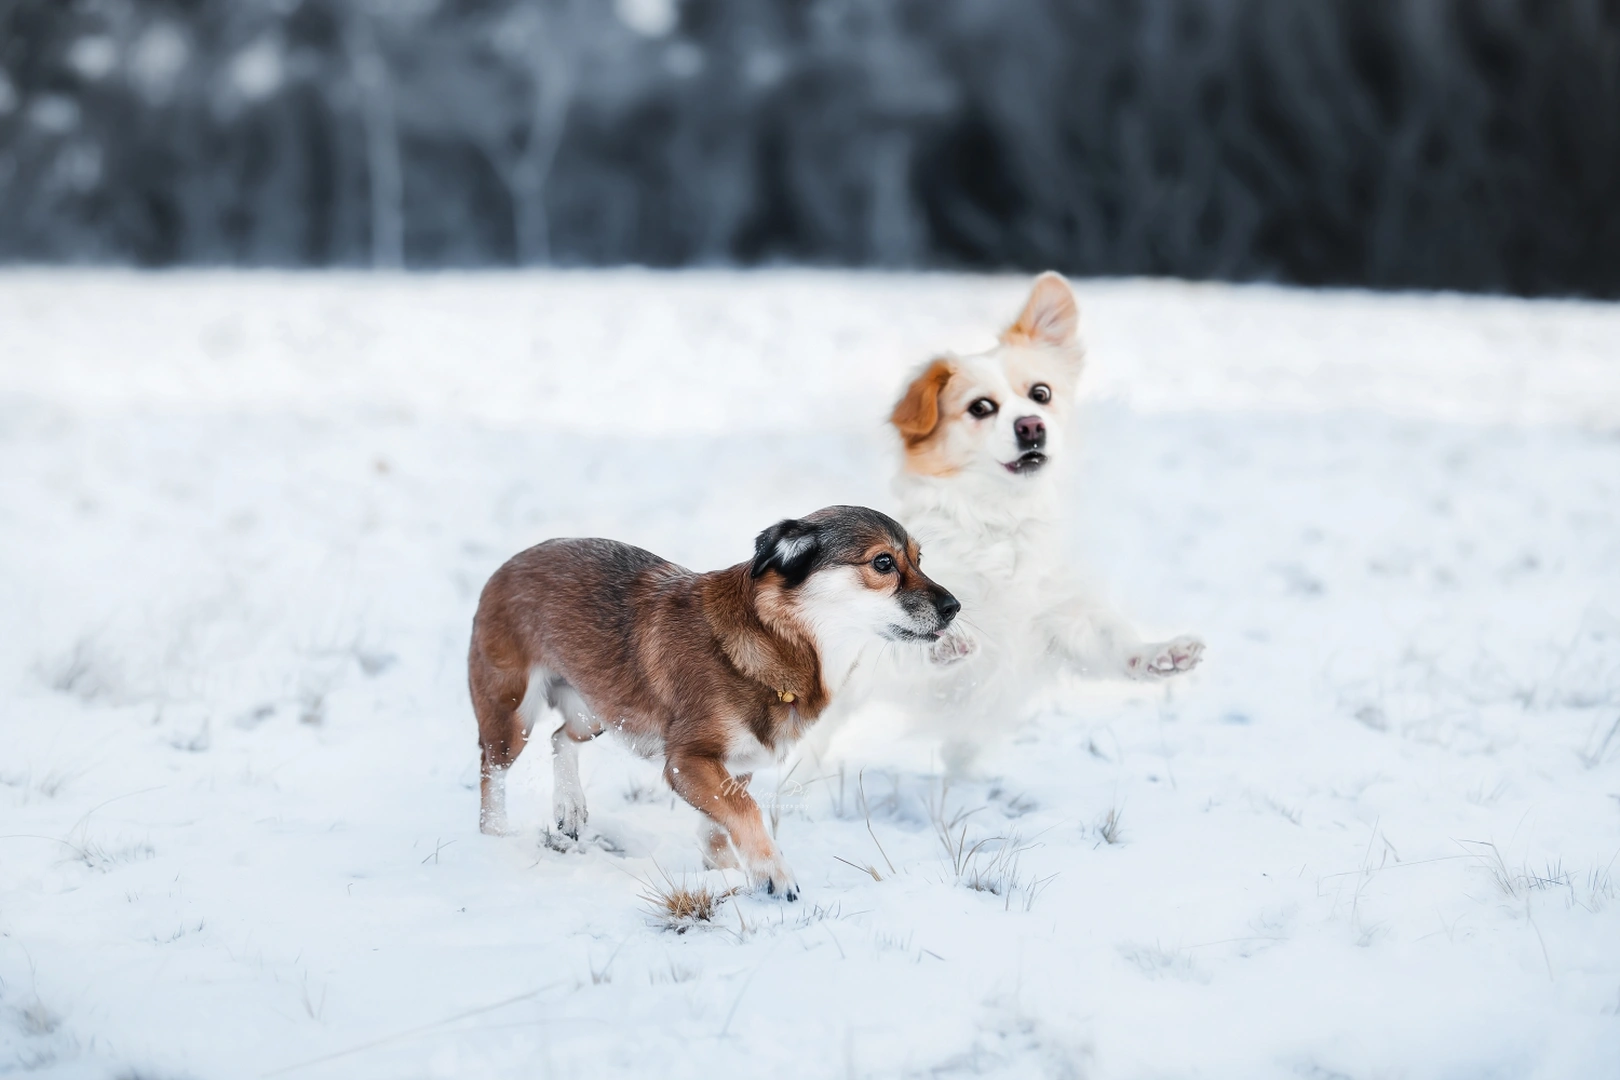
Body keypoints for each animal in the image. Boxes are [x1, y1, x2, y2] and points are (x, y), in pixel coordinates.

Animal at [469, 511, 952, 900]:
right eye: (883, 562)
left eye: (919, 559)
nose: (955, 607)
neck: (779, 640)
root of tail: (512, 562)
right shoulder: (687, 760)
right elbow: (746, 809)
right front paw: (772, 872)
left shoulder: (735, 762)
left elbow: (721, 819)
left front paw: (724, 867)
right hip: (512, 715)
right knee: (492, 769)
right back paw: (495, 835)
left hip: (601, 711)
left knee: (560, 737)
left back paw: (569, 804)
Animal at [835, 275, 1205, 773]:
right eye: (980, 407)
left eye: (1041, 394)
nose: (1032, 426)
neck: (1004, 518)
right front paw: (943, 643)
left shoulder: (1062, 614)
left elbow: (1113, 641)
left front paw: (1158, 655)